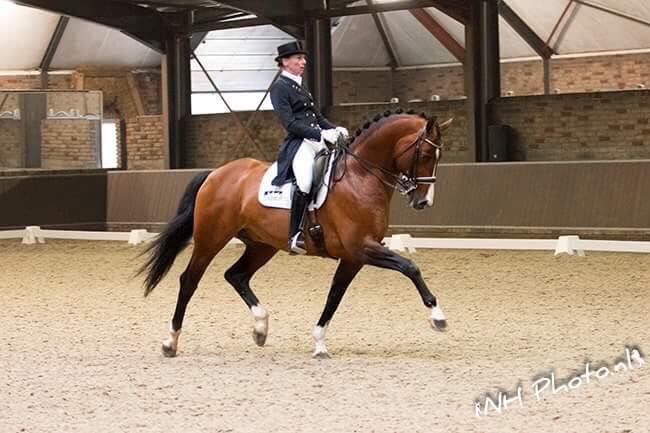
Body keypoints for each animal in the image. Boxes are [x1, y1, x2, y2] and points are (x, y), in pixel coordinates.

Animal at [138, 109, 450, 358]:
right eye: (424, 154)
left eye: (439, 156)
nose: (423, 202)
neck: (360, 177)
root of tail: (215, 173)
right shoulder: (362, 247)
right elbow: (410, 266)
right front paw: (437, 316)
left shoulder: (354, 257)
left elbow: (335, 295)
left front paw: (319, 343)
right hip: (210, 239)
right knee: (189, 280)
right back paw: (170, 342)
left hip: (262, 245)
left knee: (236, 275)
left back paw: (260, 327)